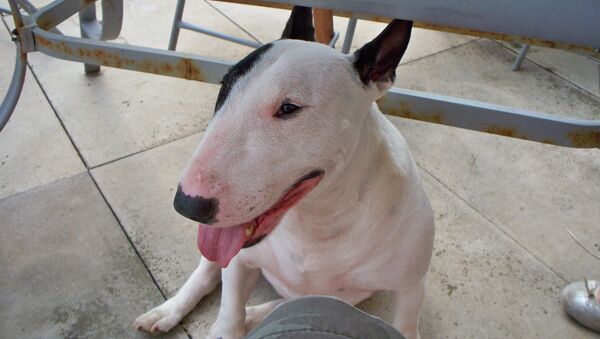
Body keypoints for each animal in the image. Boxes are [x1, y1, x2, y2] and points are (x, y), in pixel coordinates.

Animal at [135, 7, 436, 339]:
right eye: (224, 86)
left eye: (289, 108)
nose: (187, 204)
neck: (317, 220)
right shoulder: (239, 260)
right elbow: (229, 312)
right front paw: (225, 323)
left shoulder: (410, 290)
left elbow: (405, 324)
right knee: (208, 271)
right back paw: (168, 311)